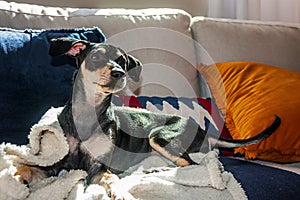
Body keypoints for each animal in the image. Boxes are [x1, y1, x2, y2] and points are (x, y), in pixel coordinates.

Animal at [14, 38, 282, 198]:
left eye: (122, 61)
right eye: (96, 57)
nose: (119, 73)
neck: (89, 115)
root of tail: (203, 129)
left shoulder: (99, 166)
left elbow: (106, 178)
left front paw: (119, 192)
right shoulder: (55, 163)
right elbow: (27, 167)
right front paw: (15, 180)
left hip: (159, 136)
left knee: (192, 164)